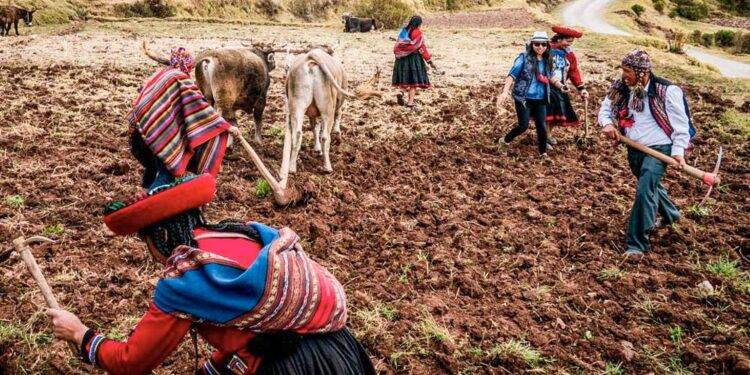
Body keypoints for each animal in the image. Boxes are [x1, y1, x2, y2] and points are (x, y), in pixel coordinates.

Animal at [280, 48, 378, 182]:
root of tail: (311, 57)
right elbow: (337, 115)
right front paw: (337, 132)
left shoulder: (311, 114)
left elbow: (314, 127)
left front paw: (316, 148)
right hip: (327, 109)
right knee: (325, 136)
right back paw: (327, 167)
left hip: (297, 105)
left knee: (298, 134)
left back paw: (292, 167)